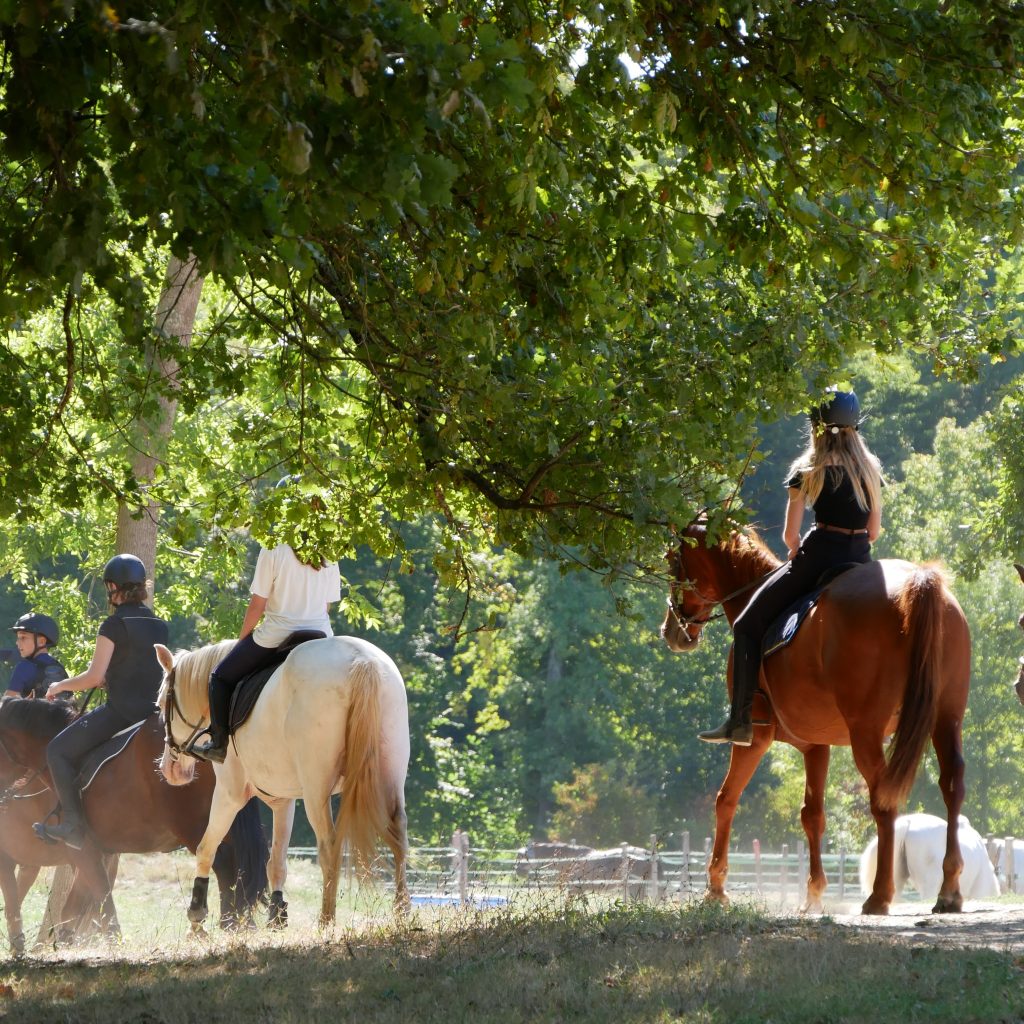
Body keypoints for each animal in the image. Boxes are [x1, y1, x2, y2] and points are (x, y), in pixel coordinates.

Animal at [0, 696, 268, 950]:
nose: (5, 802)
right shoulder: (98, 853)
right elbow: (76, 908)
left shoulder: (83, 852)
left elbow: (100, 898)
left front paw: (113, 940)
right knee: (238, 864)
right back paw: (241, 922)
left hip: (191, 823)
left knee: (221, 860)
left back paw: (226, 922)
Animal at [154, 630, 407, 929]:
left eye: (161, 704)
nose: (170, 770)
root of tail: (362, 661)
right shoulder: (283, 799)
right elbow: (276, 862)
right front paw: (277, 916)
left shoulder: (229, 794)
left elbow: (207, 848)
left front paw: (196, 915)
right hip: (391, 774)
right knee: (399, 834)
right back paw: (402, 911)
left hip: (316, 789)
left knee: (329, 845)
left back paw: (326, 920)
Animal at [659, 524, 970, 917]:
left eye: (673, 562)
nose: (671, 631)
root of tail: (918, 581)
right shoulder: (816, 746)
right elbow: (813, 815)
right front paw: (814, 894)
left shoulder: (754, 739)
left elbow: (726, 800)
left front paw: (715, 888)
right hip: (946, 720)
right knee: (952, 786)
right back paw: (949, 890)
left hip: (866, 733)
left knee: (884, 802)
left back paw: (879, 896)